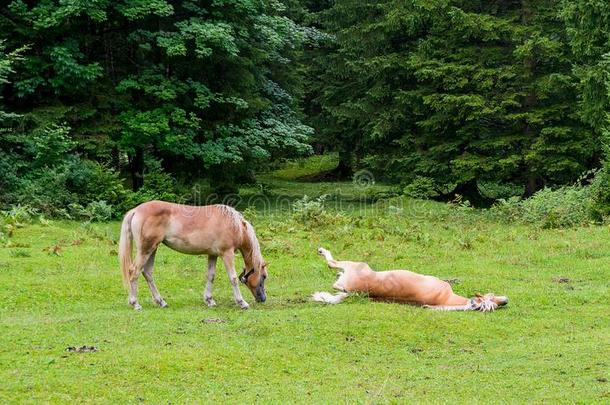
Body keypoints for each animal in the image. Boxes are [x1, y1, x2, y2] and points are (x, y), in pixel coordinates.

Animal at [119, 201, 266, 310]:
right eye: (264, 276)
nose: (263, 299)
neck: (234, 225)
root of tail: (136, 210)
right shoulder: (227, 253)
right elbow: (233, 278)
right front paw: (242, 303)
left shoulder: (213, 255)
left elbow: (211, 276)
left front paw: (209, 300)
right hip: (146, 250)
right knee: (134, 272)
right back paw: (135, 303)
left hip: (152, 249)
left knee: (147, 273)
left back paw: (161, 302)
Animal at [312, 245, 506, 310]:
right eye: (492, 299)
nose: (506, 301)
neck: (446, 297)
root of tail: (356, 291)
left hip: (355, 264)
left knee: (332, 264)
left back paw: (323, 252)